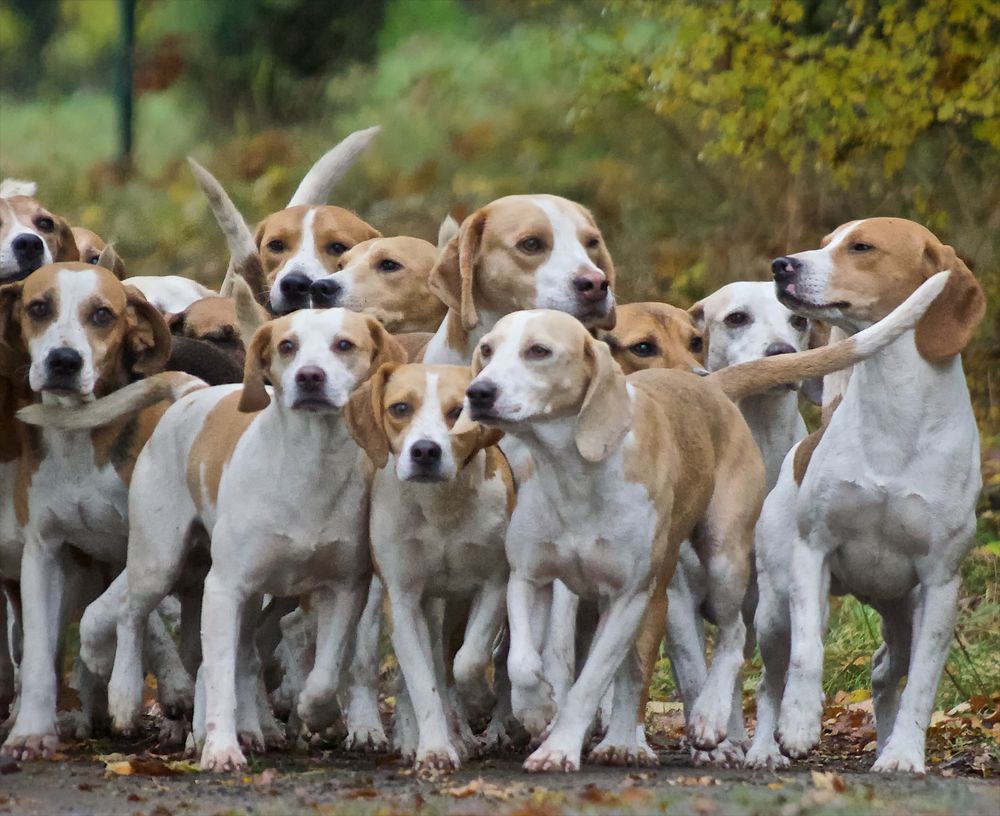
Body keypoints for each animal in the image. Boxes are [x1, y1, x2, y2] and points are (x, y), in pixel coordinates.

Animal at [752, 220, 984, 776]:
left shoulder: (941, 585)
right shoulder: (812, 552)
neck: (893, 409)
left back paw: (884, 744)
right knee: (770, 677)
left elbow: (922, 682)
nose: (781, 266)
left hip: (905, 615)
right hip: (774, 609)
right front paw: (799, 725)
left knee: (884, 672)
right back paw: (763, 748)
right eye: (825, 242)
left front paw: (904, 755)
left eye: (862, 247)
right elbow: (807, 654)